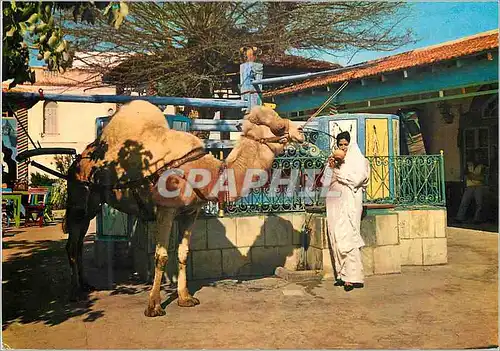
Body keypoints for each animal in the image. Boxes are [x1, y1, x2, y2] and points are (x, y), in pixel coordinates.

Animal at [62, 99, 304, 320]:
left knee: (79, 240)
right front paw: (154, 306)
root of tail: (78, 160)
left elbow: (184, 252)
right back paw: (74, 293)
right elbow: (161, 255)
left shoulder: (190, 212)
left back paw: (85, 285)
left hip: (92, 205)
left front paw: (185, 297)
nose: (301, 131)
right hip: (78, 198)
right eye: (278, 126)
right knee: (72, 244)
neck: (204, 173)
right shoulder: (166, 209)